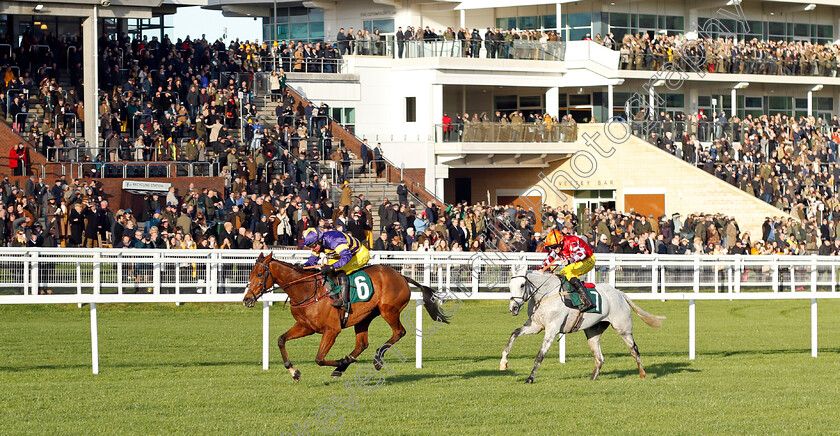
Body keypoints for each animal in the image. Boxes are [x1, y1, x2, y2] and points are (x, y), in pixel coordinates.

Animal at [243, 252, 450, 382]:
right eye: (250, 273)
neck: (307, 289)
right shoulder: (306, 327)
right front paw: (294, 372)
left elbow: (319, 359)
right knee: (362, 344)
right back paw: (342, 367)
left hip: (388, 310)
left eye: (260, 274)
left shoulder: (331, 330)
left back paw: (375, 359)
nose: (247, 300)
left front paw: (340, 361)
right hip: (364, 317)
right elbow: (281, 339)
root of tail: (401, 276)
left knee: (399, 332)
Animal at [502, 270, 668, 384]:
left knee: (634, 349)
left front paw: (530, 378)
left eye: (522, 285)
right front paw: (504, 362)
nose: (513, 308)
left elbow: (540, 355)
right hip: (593, 332)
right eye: (509, 285)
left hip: (623, 328)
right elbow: (514, 333)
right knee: (599, 358)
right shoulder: (536, 326)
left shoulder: (552, 329)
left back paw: (642, 374)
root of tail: (619, 292)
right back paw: (592, 378)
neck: (546, 295)